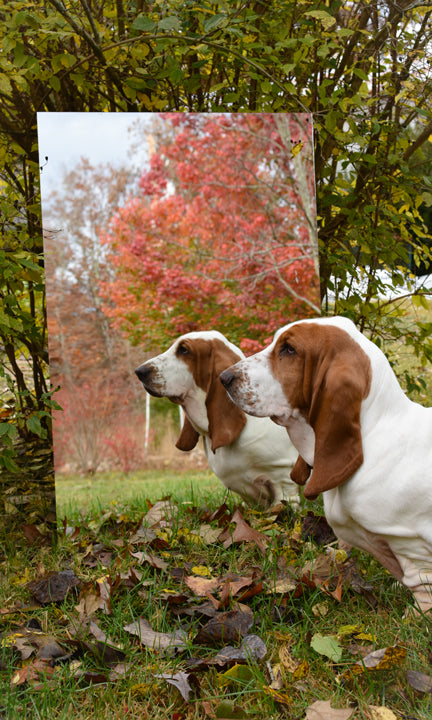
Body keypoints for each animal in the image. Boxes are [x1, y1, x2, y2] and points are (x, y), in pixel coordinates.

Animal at [221, 316, 432, 612]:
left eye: (289, 349)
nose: (223, 378)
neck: (372, 434)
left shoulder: (412, 544)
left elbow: (421, 584)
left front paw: (415, 614)